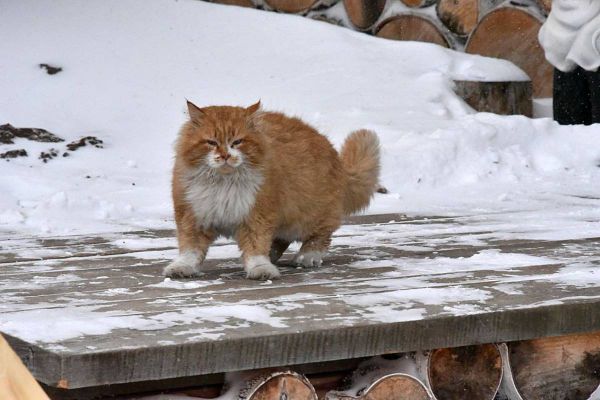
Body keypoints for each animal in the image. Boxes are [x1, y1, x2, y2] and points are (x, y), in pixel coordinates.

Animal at [164, 101, 380, 278]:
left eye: (237, 142)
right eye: (211, 142)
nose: (225, 155)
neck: (223, 183)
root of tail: (337, 161)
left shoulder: (257, 215)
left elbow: (256, 247)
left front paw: (260, 269)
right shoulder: (193, 215)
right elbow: (190, 250)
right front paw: (181, 268)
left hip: (308, 216)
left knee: (321, 236)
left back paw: (307, 257)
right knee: (282, 241)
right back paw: (273, 256)